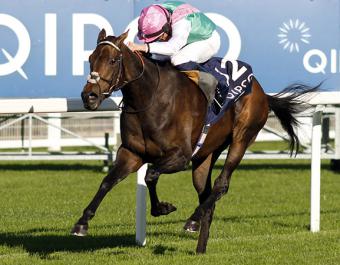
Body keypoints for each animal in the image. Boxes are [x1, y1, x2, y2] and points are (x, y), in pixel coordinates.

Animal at [73, 29, 318, 253]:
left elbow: (151, 174)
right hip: (206, 154)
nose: (89, 96)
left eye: (113, 60)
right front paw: (82, 223)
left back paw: (193, 219)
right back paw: (200, 246)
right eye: (90, 59)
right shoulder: (132, 153)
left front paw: (163, 208)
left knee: (221, 185)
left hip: (242, 137)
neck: (148, 98)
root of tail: (261, 91)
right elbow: (108, 181)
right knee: (206, 192)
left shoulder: (180, 156)